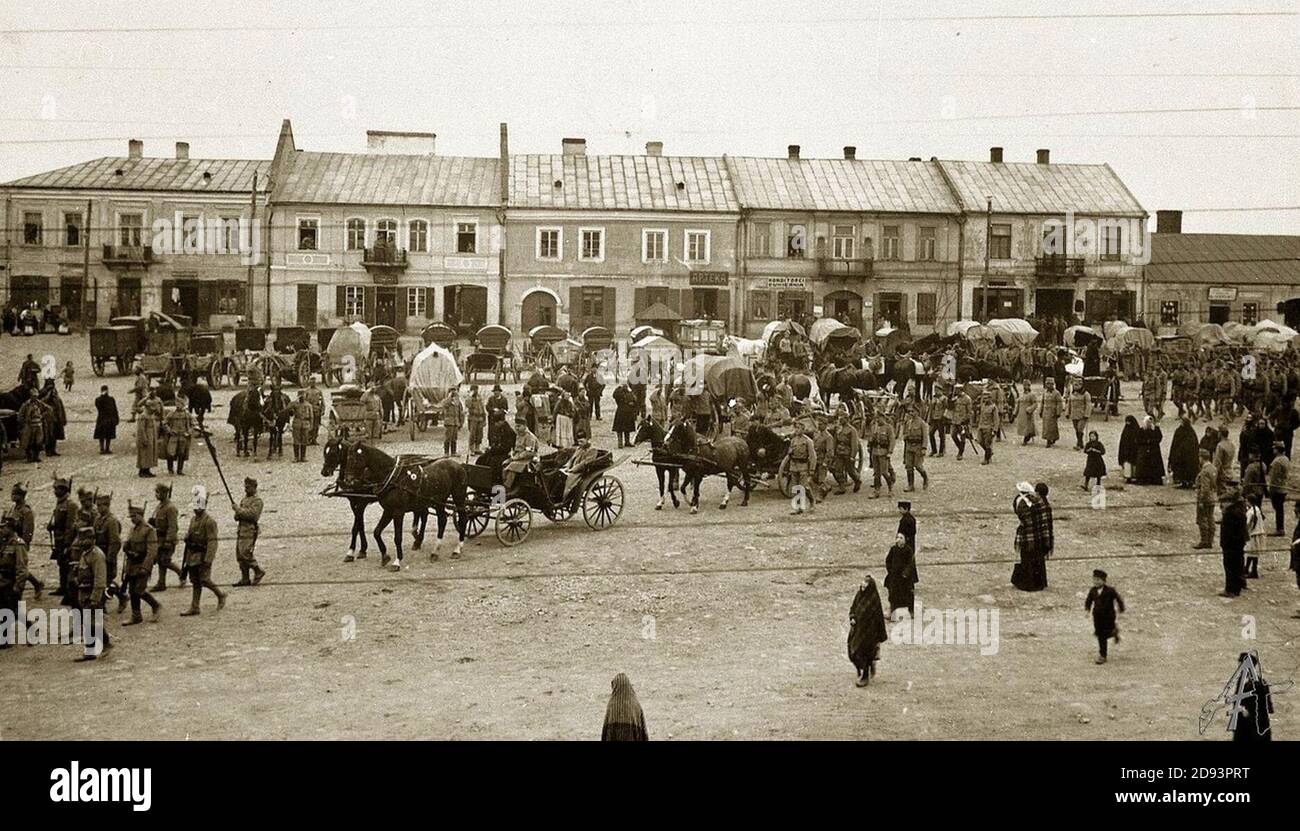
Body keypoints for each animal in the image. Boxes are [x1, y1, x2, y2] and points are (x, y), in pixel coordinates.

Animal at [343, 439, 470, 569]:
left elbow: (398, 537)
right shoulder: (388, 511)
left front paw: (397, 561)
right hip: (439, 501)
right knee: (442, 520)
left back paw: (457, 549)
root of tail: (458, 465)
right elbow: (376, 532)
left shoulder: (398, 513)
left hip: (459, 497)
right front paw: (385, 556)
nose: (347, 480)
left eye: (354, 459)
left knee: (463, 519)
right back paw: (435, 551)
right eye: (347, 458)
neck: (394, 478)